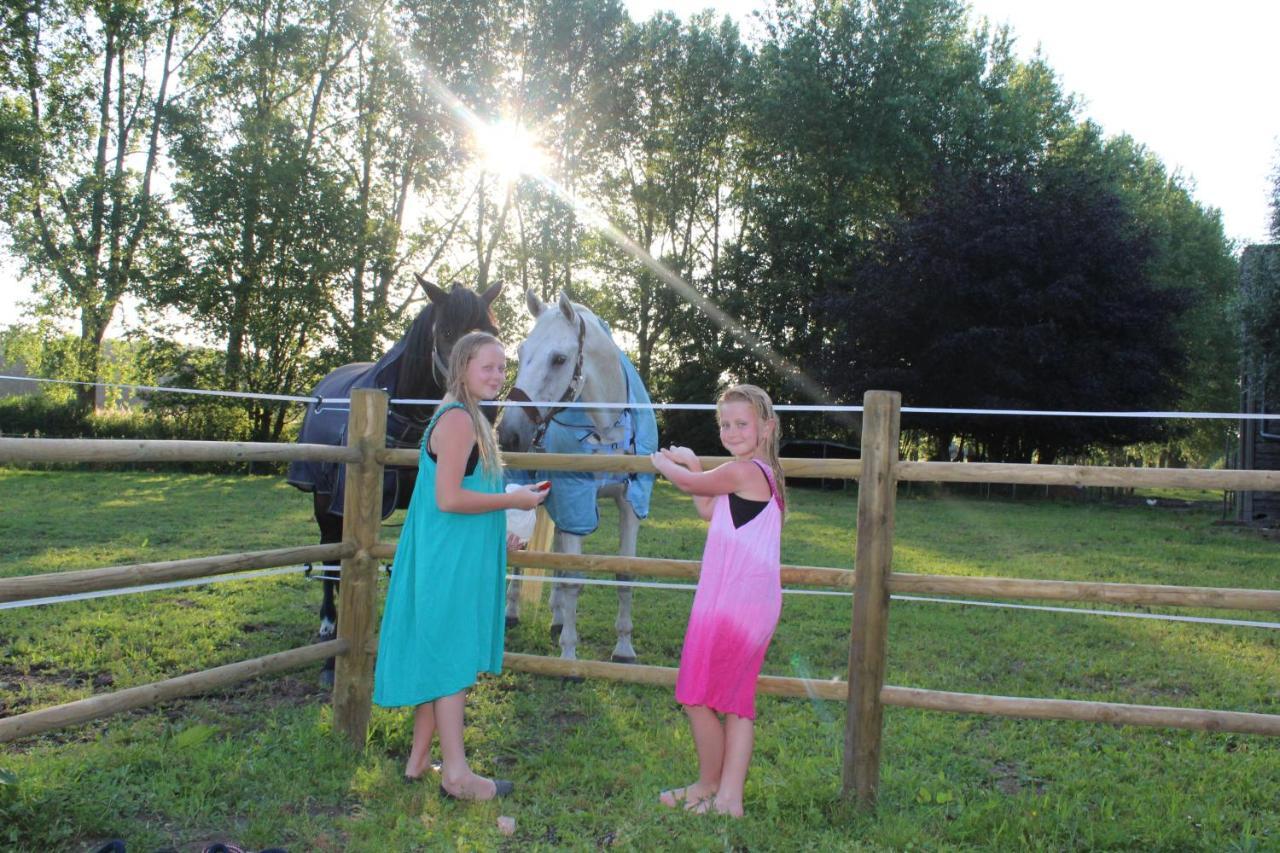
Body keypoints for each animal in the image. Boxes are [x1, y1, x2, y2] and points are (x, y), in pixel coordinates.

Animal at [288, 275, 501, 681]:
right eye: (445, 331)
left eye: (492, 330)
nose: (489, 408)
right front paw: (332, 663)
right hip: (322, 503)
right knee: (329, 559)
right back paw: (328, 623)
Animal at [499, 289, 660, 660]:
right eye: (521, 353)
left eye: (559, 359)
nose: (508, 434)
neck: (608, 430)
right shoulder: (574, 496)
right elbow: (573, 578)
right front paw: (569, 655)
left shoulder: (628, 504)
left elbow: (624, 574)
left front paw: (624, 647)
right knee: (520, 554)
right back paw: (512, 613)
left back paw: (557, 618)